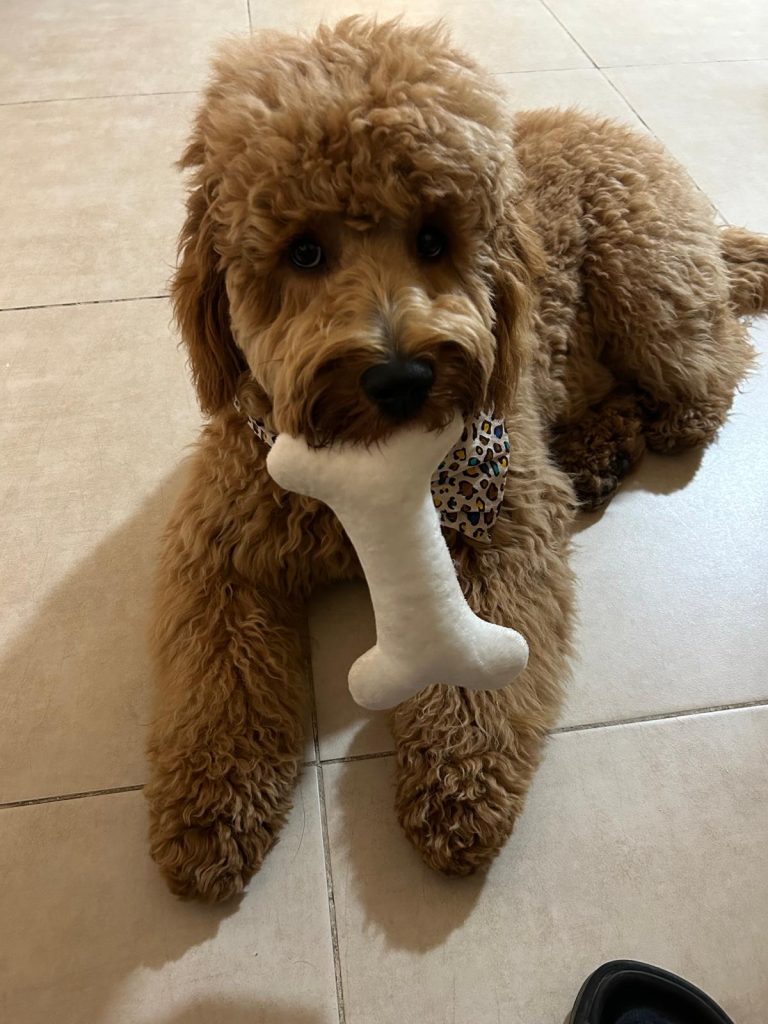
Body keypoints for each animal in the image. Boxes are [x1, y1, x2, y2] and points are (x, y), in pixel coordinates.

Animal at [145, 17, 767, 901]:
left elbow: (484, 659)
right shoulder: (219, 547)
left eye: (433, 239)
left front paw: (458, 787)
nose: (401, 378)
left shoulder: (509, 519)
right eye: (304, 252)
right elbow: (215, 683)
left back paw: (652, 427)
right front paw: (211, 807)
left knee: (718, 365)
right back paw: (599, 447)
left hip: (648, 286)